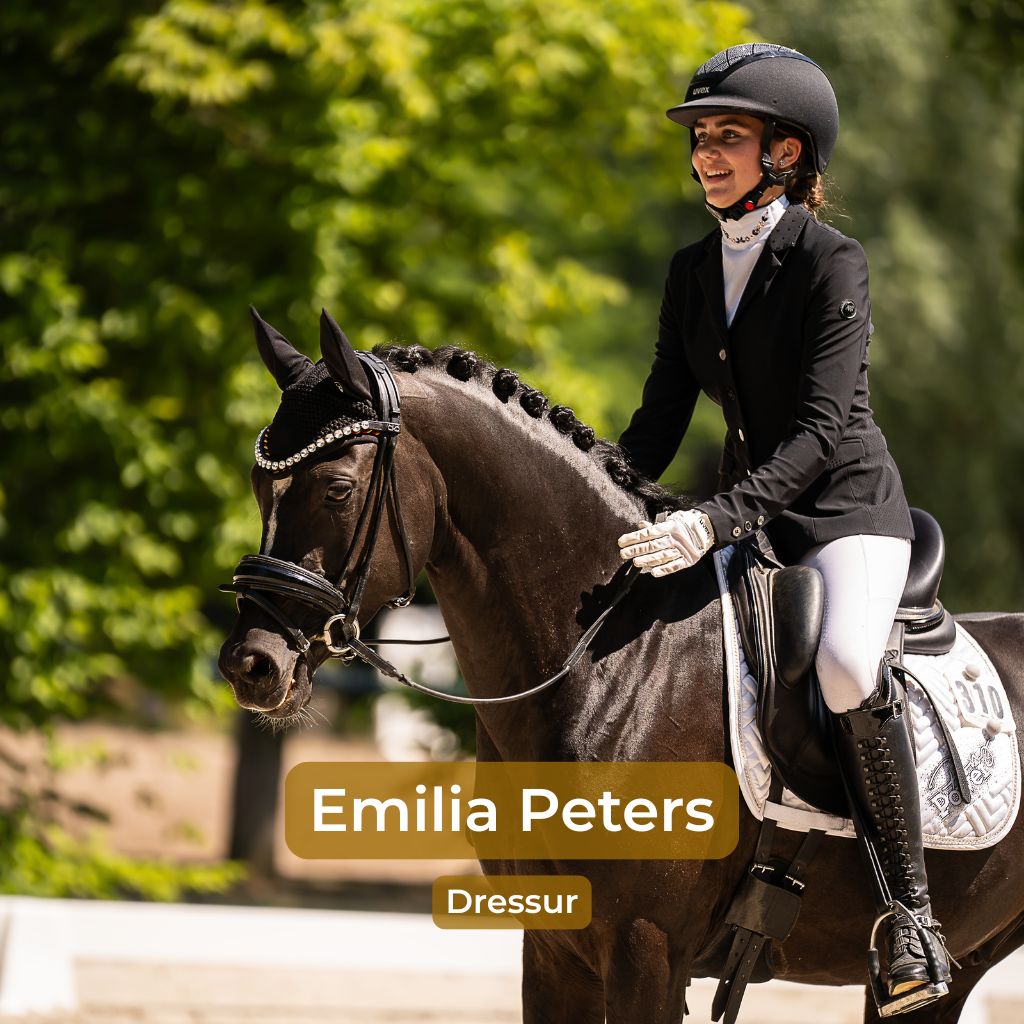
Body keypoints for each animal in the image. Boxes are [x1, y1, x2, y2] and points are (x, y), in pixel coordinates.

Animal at [218, 310, 1024, 1024]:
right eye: (259, 488)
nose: (252, 664)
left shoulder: (648, 951)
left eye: (338, 488)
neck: (618, 664)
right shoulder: (552, 945)